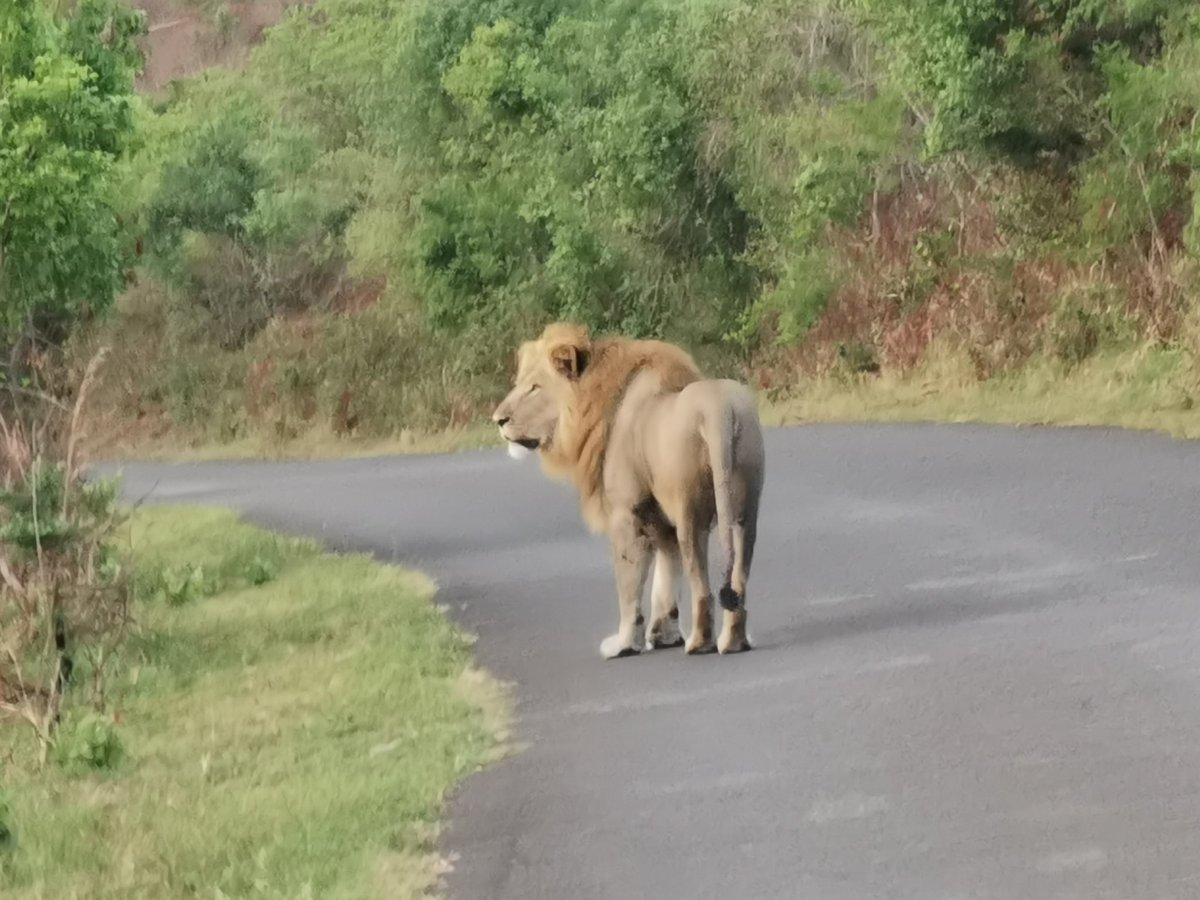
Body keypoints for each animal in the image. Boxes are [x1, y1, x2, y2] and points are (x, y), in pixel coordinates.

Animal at [489, 326, 763, 662]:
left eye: (534, 388)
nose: (498, 420)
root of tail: (720, 409)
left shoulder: (626, 513)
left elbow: (630, 585)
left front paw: (624, 644)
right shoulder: (660, 520)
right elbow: (665, 578)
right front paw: (663, 635)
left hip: (691, 513)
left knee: (703, 588)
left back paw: (700, 643)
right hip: (744, 511)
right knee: (738, 578)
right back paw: (734, 641)